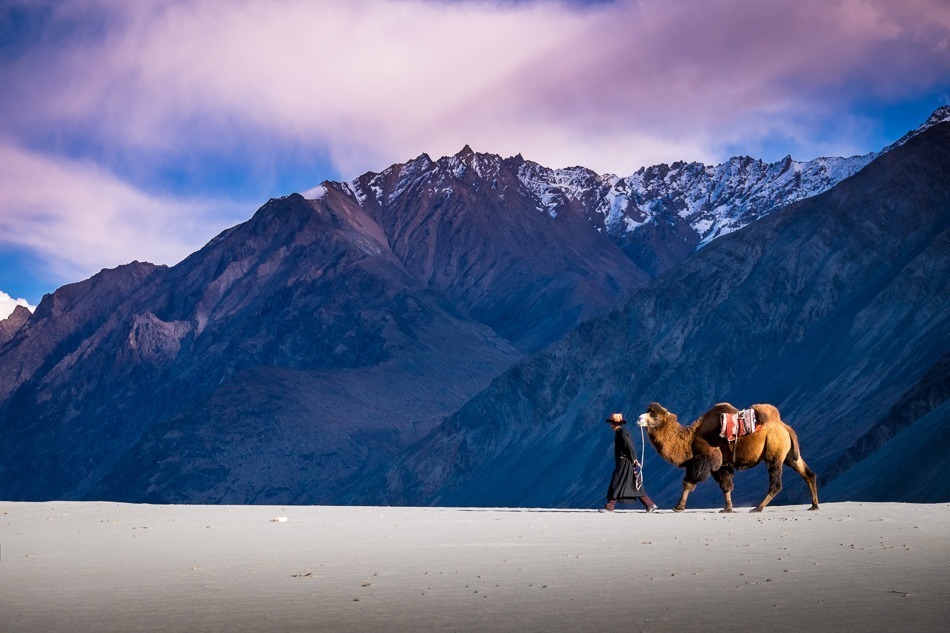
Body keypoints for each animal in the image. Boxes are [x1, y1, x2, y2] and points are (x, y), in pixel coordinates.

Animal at [636, 402, 819, 513]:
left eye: (654, 415)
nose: (638, 418)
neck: (690, 439)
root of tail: (786, 428)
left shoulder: (707, 457)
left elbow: (689, 482)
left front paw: (678, 507)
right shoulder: (723, 463)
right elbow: (726, 485)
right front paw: (727, 508)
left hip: (774, 452)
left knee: (776, 483)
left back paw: (758, 508)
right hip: (790, 455)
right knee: (807, 473)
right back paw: (814, 505)